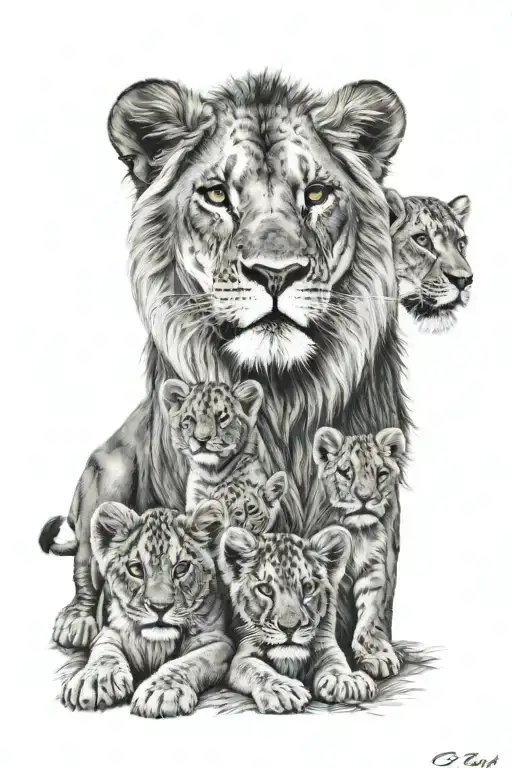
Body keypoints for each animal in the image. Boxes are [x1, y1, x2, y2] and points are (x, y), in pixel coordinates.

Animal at [41, 72, 410, 653]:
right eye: (217, 195)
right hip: (107, 470)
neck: (280, 394)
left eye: (316, 194)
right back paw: (78, 620)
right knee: (86, 561)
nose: (276, 273)